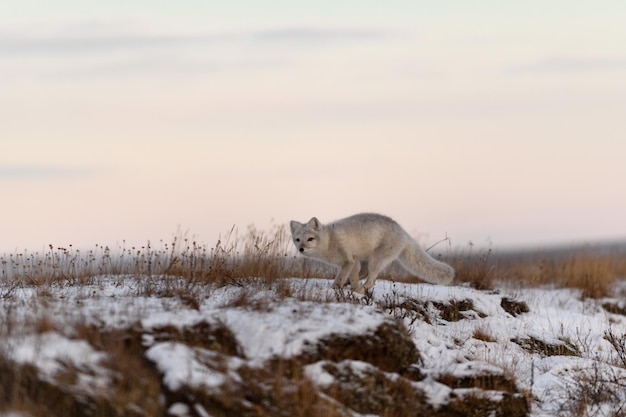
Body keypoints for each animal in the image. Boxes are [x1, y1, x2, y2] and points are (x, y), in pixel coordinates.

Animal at [288, 213, 454, 290]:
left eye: (310, 239)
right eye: (298, 239)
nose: (301, 249)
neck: (328, 241)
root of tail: (403, 232)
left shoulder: (348, 261)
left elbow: (339, 278)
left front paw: (335, 289)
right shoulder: (352, 261)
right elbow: (353, 276)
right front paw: (350, 287)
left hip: (376, 259)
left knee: (372, 280)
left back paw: (360, 291)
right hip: (364, 259)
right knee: (365, 273)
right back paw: (354, 287)